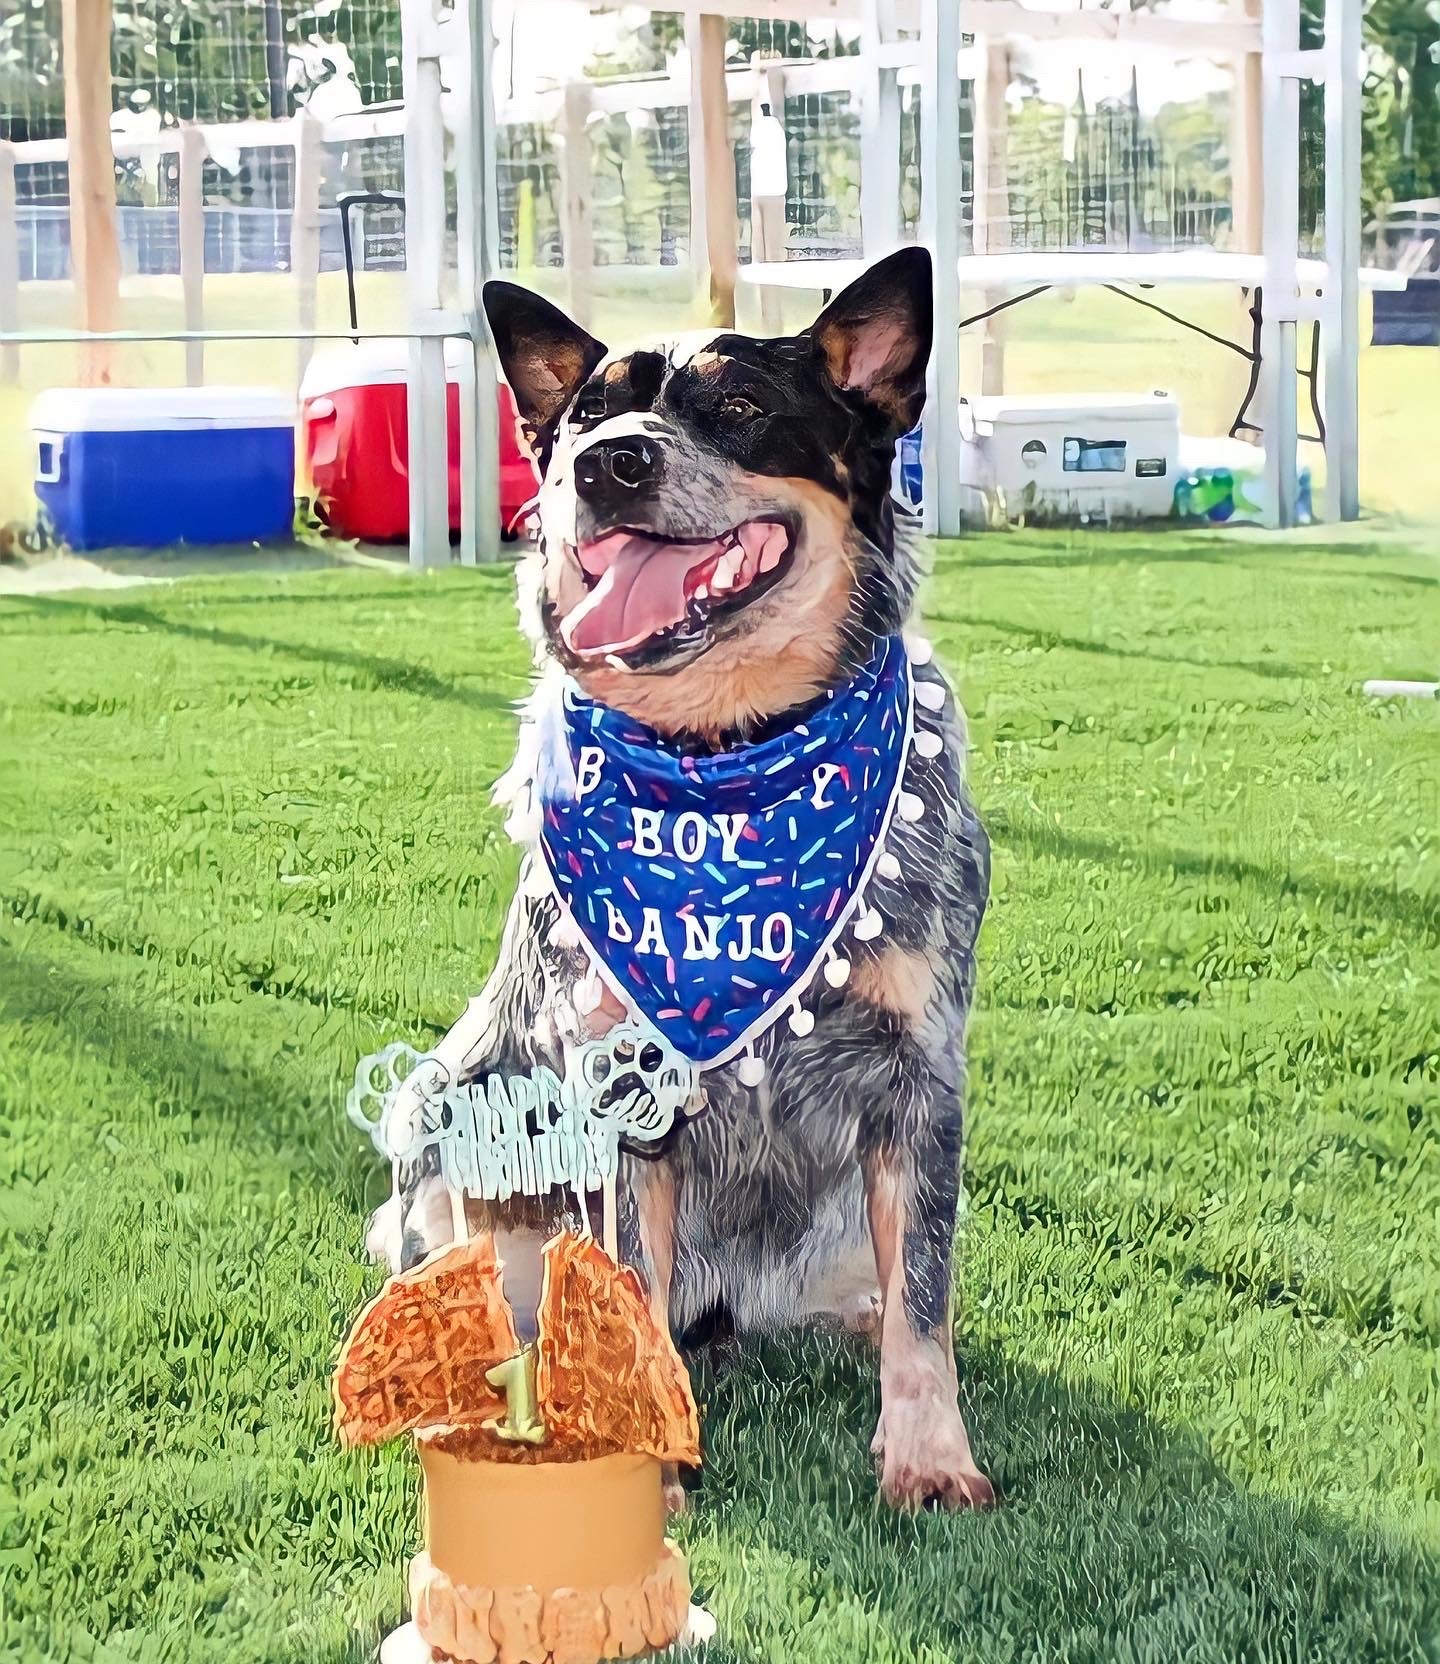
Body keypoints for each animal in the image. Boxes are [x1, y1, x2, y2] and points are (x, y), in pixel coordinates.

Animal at [376, 252, 992, 1517]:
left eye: (743, 403)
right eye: (584, 417)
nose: (608, 462)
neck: (726, 759)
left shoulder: (921, 1079)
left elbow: (927, 1297)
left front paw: (930, 1451)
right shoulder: (623, 1095)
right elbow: (625, 1295)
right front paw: (640, 1475)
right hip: (447, 1124)